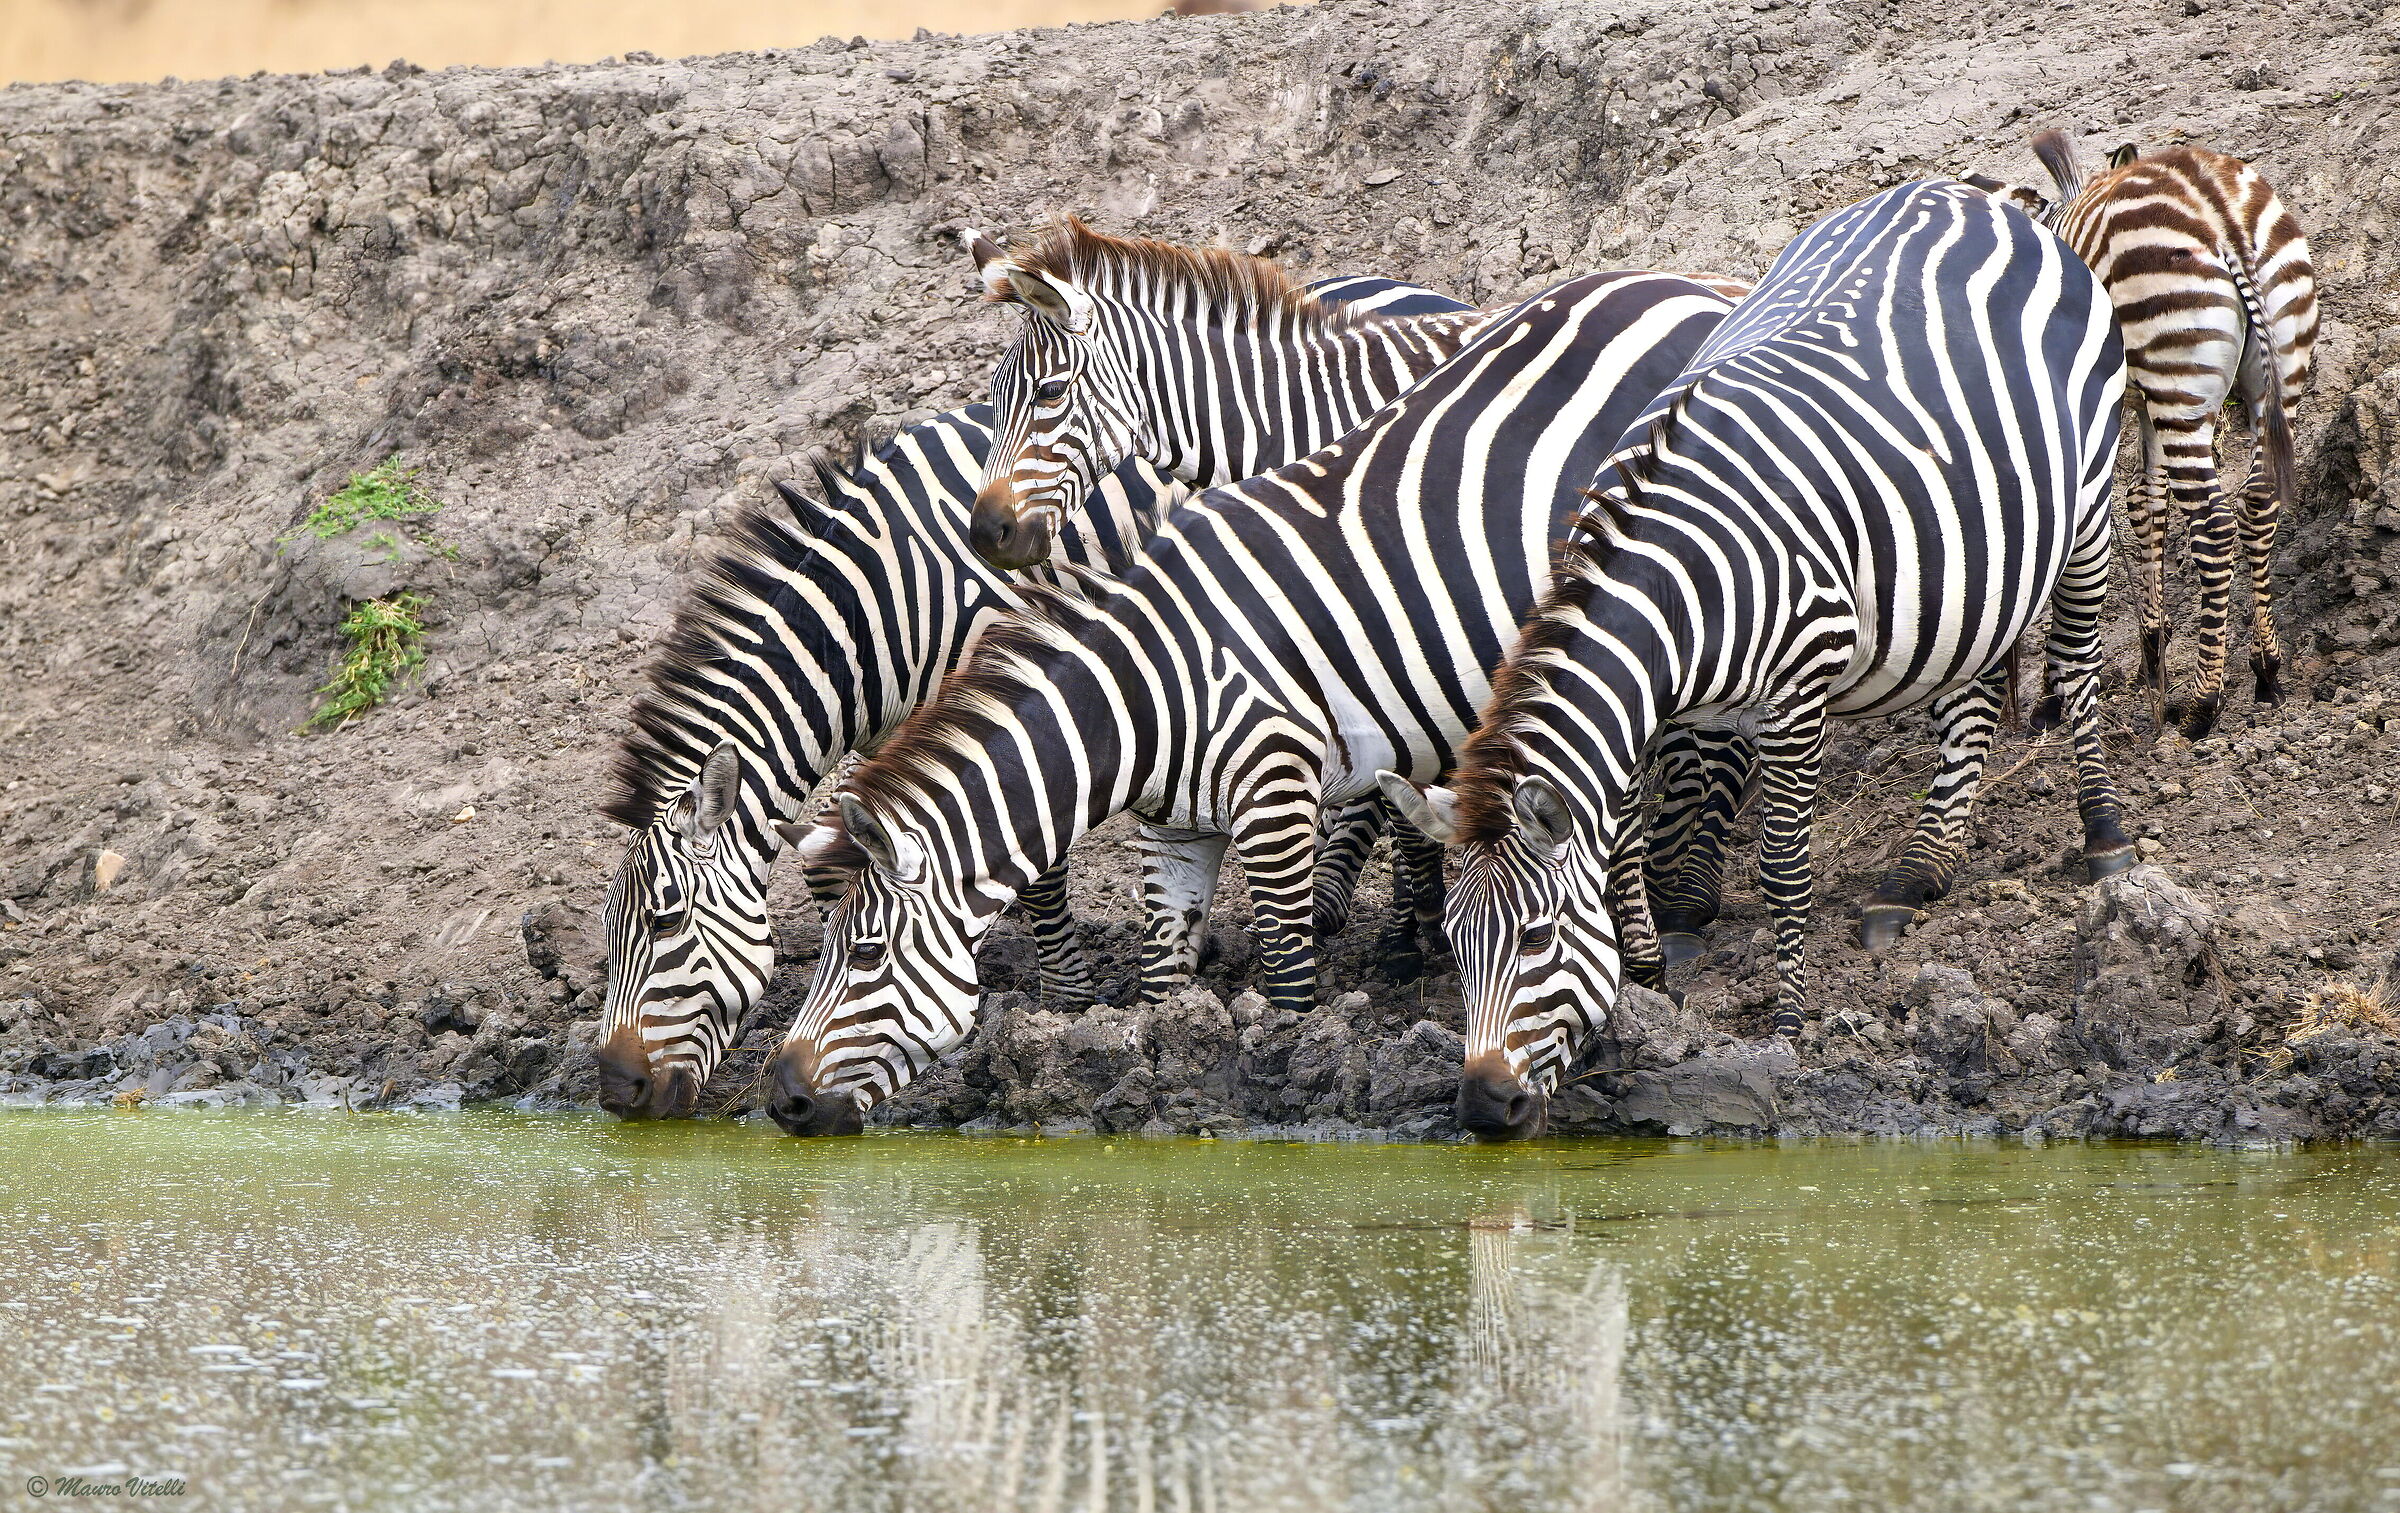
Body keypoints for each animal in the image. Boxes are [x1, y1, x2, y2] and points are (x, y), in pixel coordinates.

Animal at [589, 280, 1475, 1120]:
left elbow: (1036, 862)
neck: (884, 600)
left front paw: (1064, 996)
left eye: (664, 923)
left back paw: (1402, 935)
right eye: (608, 934)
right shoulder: (891, 733)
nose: (616, 1090)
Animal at [761, 271, 1734, 1136]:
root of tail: (1685, 284)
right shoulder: (1172, 834)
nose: (783, 1100)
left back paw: (1648, 961)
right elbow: (1160, 980)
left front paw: (1290, 1071)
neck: (1150, 687)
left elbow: (1291, 985)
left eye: (864, 955)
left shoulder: (1277, 803)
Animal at [1376, 181, 2137, 1139]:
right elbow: (1625, 849)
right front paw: (1649, 987)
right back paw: (1915, 876)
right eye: (1455, 938)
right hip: (1966, 564)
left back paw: (2105, 837)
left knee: (2075, 662)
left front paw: (1785, 1024)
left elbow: (1782, 868)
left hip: (2090, 505)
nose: (1483, 1107)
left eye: (1538, 937)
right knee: (1968, 700)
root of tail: (1968, 193)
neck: (1675, 591)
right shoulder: (1650, 714)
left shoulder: (1799, 685)